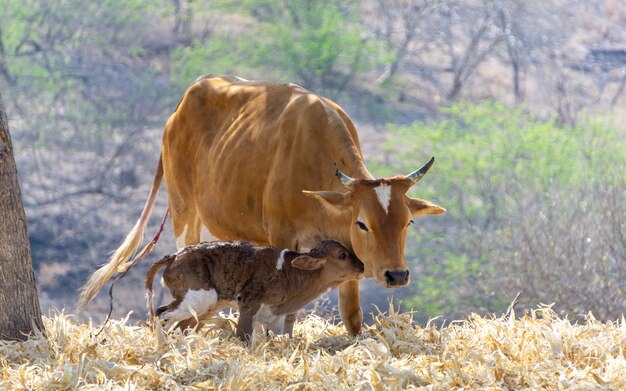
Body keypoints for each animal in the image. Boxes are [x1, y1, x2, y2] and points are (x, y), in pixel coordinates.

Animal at [144, 239, 364, 340]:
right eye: (342, 255)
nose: (362, 266)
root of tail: (174, 256)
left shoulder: (275, 317)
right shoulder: (249, 303)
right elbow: (243, 336)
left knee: (180, 326)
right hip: (198, 298)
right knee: (162, 313)